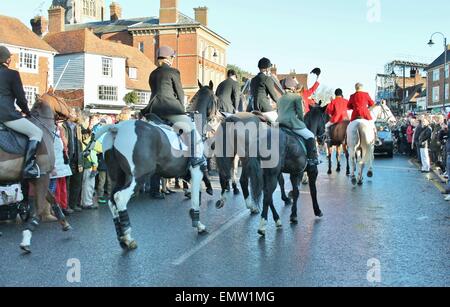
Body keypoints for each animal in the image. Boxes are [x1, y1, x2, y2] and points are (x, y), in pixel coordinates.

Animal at [0, 88, 72, 253]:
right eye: (62, 99)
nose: (73, 114)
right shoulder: (43, 176)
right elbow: (39, 209)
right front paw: (26, 239)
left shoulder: (36, 177)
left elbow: (52, 199)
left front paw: (65, 224)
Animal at [90, 81, 219, 250]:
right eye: (216, 99)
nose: (218, 118)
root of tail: (116, 128)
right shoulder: (196, 170)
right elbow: (196, 198)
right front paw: (199, 225)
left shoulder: (188, 174)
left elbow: (196, 193)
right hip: (138, 176)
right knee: (120, 198)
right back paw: (128, 237)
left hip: (118, 176)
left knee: (112, 201)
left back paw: (122, 237)